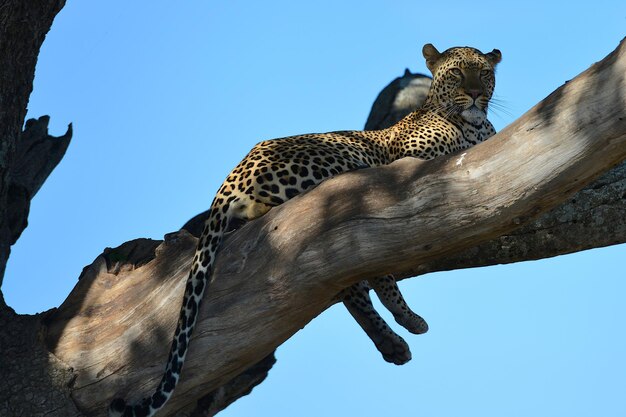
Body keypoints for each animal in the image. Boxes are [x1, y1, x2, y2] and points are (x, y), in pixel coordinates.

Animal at [109, 44, 500, 414]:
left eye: (484, 72)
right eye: (456, 73)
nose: (476, 94)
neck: (474, 126)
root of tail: (230, 178)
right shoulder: (405, 156)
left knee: (347, 281)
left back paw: (391, 340)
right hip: (340, 159)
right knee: (359, 269)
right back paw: (406, 320)